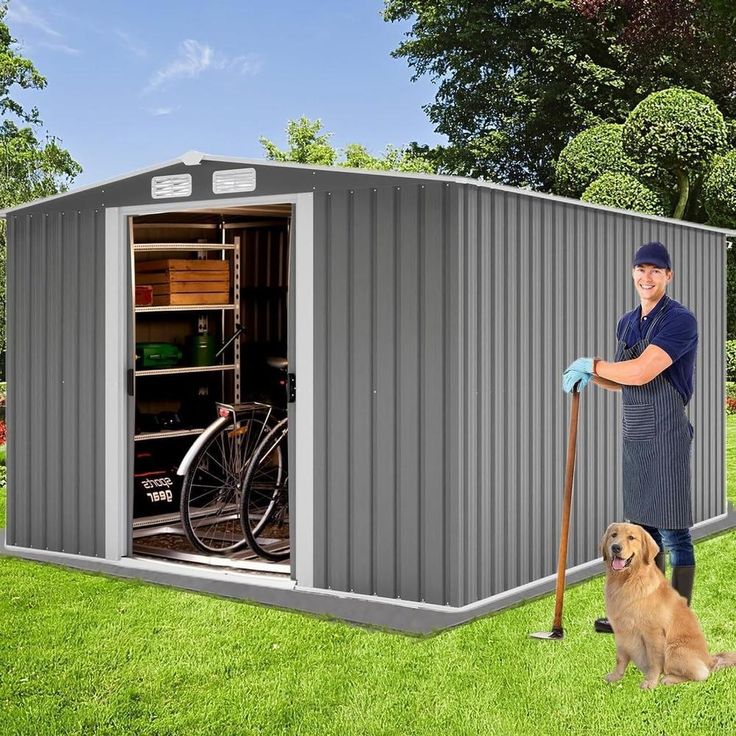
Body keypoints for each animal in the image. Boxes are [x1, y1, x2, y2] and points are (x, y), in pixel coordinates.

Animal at [600, 520, 732, 688]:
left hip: (674, 649)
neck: (626, 581)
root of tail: (710, 659)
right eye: (614, 535)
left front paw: (650, 682)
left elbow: (654, 660)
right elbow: (620, 658)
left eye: (631, 537)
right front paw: (615, 677)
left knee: (701, 674)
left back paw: (668, 679)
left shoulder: (653, 632)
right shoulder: (621, 630)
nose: (615, 547)